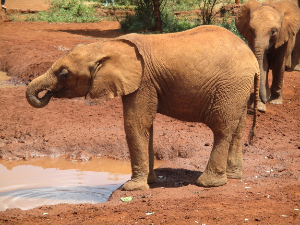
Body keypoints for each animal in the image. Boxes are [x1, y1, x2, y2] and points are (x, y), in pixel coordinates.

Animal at [26, 25, 260, 191]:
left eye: (64, 73)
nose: (46, 95)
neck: (107, 45)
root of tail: (254, 61)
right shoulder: (143, 83)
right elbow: (147, 127)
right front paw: (149, 181)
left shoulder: (143, 82)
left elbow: (135, 125)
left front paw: (132, 188)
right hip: (238, 89)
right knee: (238, 128)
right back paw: (233, 176)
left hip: (230, 86)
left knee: (222, 129)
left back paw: (209, 183)